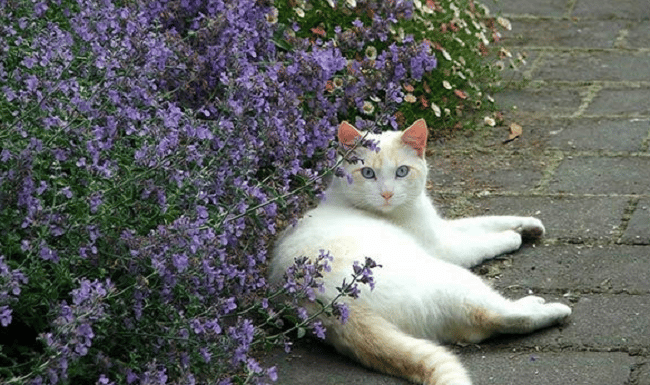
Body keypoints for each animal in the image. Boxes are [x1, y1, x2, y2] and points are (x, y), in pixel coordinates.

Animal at [268, 119, 568, 384]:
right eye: (368, 173)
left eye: (402, 171)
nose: (387, 194)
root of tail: (337, 307)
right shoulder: (445, 246)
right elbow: (483, 240)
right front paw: (513, 237)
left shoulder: (442, 227)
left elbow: (487, 220)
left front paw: (529, 225)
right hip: (451, 275)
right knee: (499, 315)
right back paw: (547, 307)